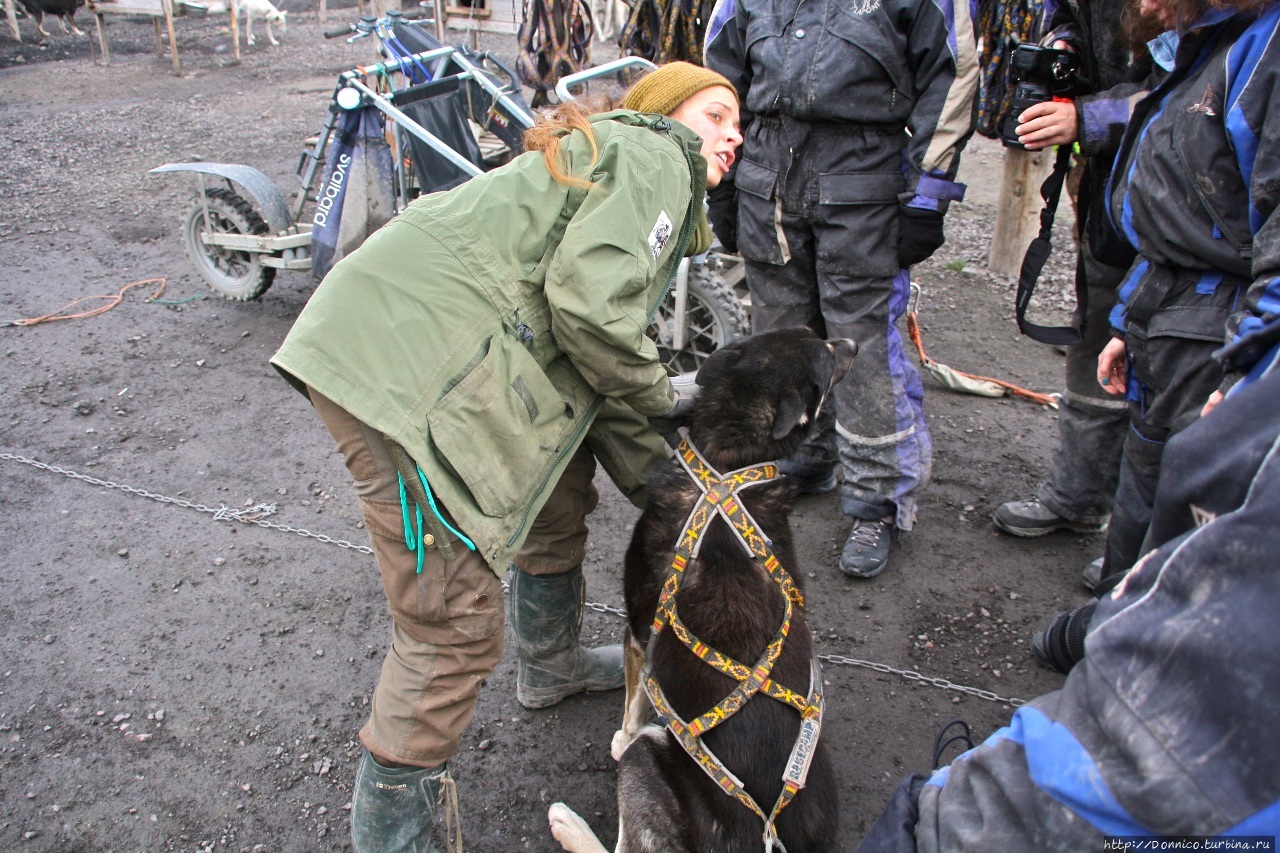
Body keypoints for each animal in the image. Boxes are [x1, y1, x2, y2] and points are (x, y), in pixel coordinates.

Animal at [547, 326, 855, 850]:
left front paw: (620, 734)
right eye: (825, 349)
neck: (728, 468)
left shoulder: (638, 631)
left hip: (651, 754)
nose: (853, 345)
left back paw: (570, 826)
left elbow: (633, 704)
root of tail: (760, 833)